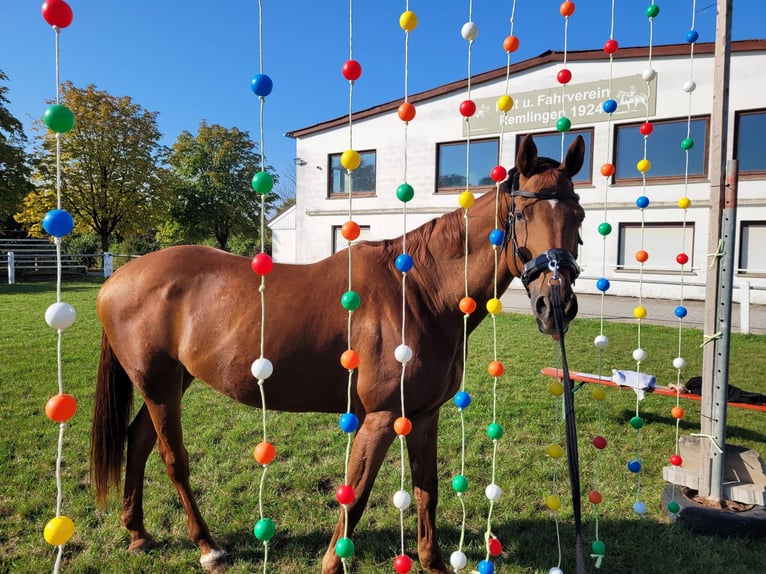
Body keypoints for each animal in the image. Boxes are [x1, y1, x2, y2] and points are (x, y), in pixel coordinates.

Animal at [90, 134, 584, 572]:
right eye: (522, 212)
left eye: (578, 215)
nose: (555, 306)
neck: (420, 293)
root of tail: (119, 279)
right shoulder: (380, 418)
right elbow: (356, 496)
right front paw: (333, 562)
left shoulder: (424, 415)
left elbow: (427, 490)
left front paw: (432, 563)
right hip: (158, 385)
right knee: (173, 459)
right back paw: (207, 547)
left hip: (174, 381)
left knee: (137, 441)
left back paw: (137, 533)